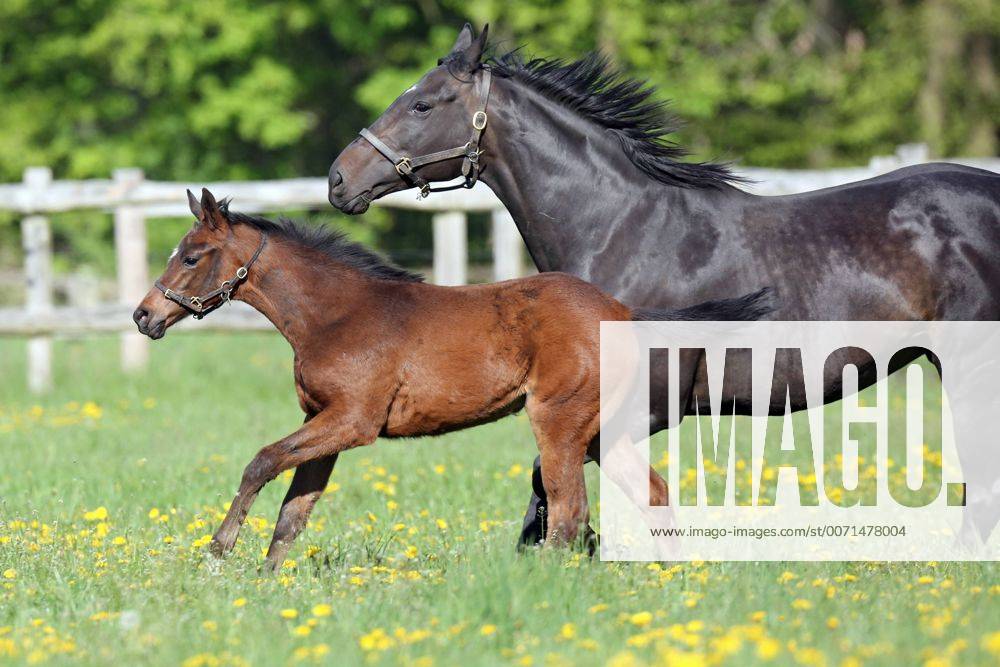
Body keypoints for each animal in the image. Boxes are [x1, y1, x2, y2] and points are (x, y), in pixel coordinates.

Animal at [131, 188, 772, 568]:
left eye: (191, 256)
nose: (144, 315)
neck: (335, 314)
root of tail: (623, 311)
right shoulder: (322, 421)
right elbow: (295, 509)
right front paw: (267, 584)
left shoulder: (353, 422)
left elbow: (261, 462)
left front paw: (217, 554)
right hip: (600, 432)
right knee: (651, 494)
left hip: (559, 419)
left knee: (569, 509)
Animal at [327, 23, 1000, 546]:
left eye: (423, 104)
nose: (338, 180)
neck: (622, 229)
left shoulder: (638, 408)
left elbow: (554, 478)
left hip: (970, 369)